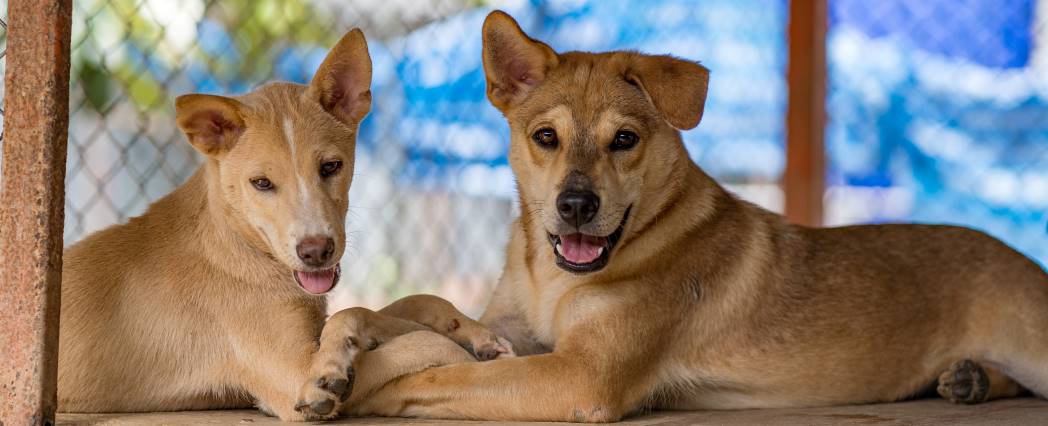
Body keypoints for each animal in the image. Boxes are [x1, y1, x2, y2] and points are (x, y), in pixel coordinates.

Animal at [57, 30, 507, 421]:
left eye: (331, 166)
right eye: (261, 183)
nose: (316, 251)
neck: (235, 241)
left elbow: (399, 305)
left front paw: (473, 333)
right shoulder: (290, 375)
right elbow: (393, 330)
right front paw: (448, 349)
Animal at [329, 10, 1048, 421]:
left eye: (625, 139)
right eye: (545, 137)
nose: (576, 206)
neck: (551, 278)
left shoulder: (577, 375)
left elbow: (441, 373)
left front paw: (346, 385)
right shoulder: (517, 334)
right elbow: (421, 313)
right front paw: (345, 341)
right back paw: (971, 380)